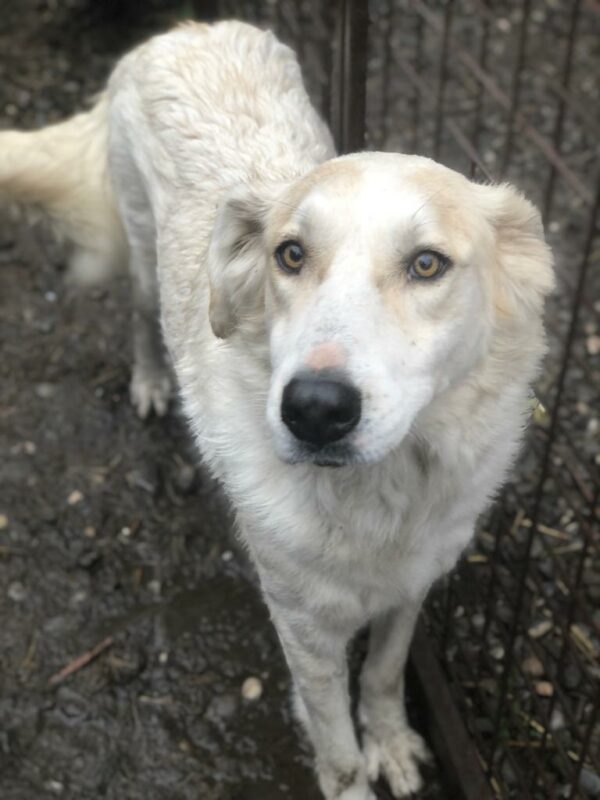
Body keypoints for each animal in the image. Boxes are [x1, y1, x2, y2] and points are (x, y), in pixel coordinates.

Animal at [0, 21, 552, 800]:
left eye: (427, 265)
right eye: (289, 254)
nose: (314, 410)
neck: (383, 500)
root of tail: (182, 30)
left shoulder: (411, 587)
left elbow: (384, 676)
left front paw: (394, 744)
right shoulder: (303, 629)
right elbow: (338, 747)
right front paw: (356, 776)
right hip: (141, 256)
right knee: (138, 319)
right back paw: (150, 382)